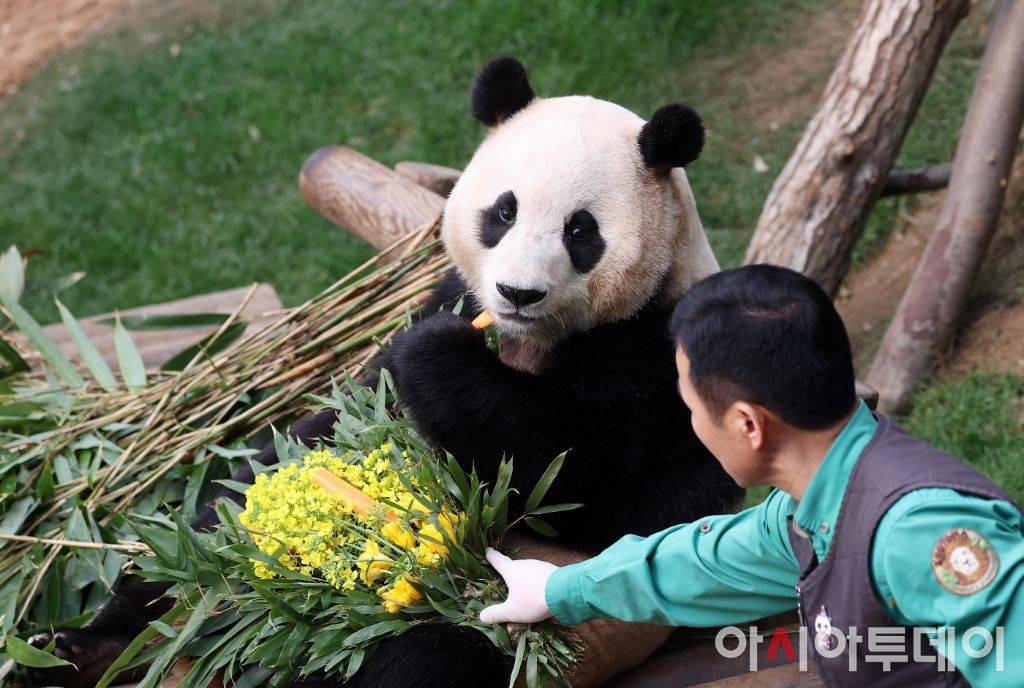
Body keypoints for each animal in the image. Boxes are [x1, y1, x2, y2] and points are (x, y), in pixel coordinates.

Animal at [28, 57, 741, 688]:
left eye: (580, 231)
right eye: (503, 211)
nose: (517, 292)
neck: (524, 341)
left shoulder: (660, 354)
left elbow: (595, 485)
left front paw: (435, 359)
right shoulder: (449, 294)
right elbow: (339, 412)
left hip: (506, 624)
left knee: (420, 660)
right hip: (215, 551)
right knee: (199, 538)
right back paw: (82, 648)